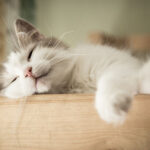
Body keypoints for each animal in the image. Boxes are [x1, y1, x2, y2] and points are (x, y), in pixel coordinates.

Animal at [0, 19, 150, 124]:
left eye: (30, 54)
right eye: (13, 79)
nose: (28, 71)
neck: (74, 82)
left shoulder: (120, 63)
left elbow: (110, 79)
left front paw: (112, 103)